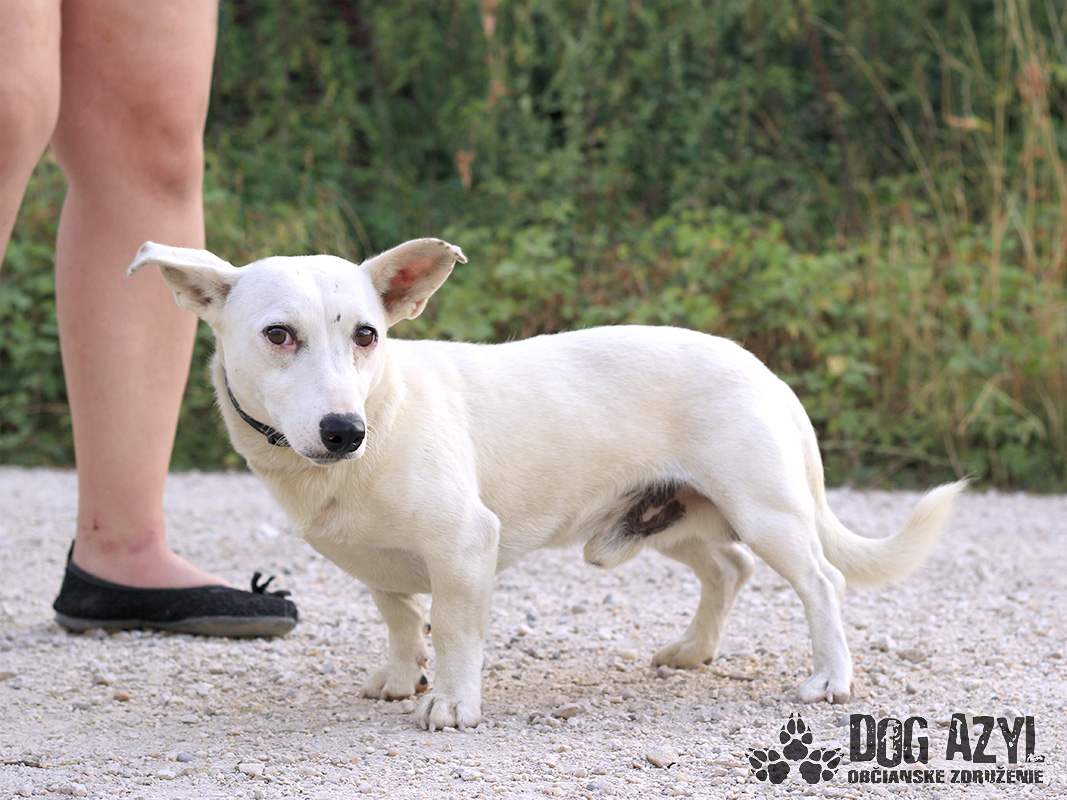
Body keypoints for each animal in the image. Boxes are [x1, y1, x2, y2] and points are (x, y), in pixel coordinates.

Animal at [129, 238, 966, 731]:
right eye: (278, 335)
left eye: (366, 335)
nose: (343, 430)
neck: (382, 410)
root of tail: (762, 370)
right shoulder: (379, 568)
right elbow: (402, 621)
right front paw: (402, 678)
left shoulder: (465, 547)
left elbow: (454, 633)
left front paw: (451, 703)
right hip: (670, 522)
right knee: (727, 570)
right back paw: (692, 652)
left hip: (765, 514)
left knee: (821, 582)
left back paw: (830, 678)